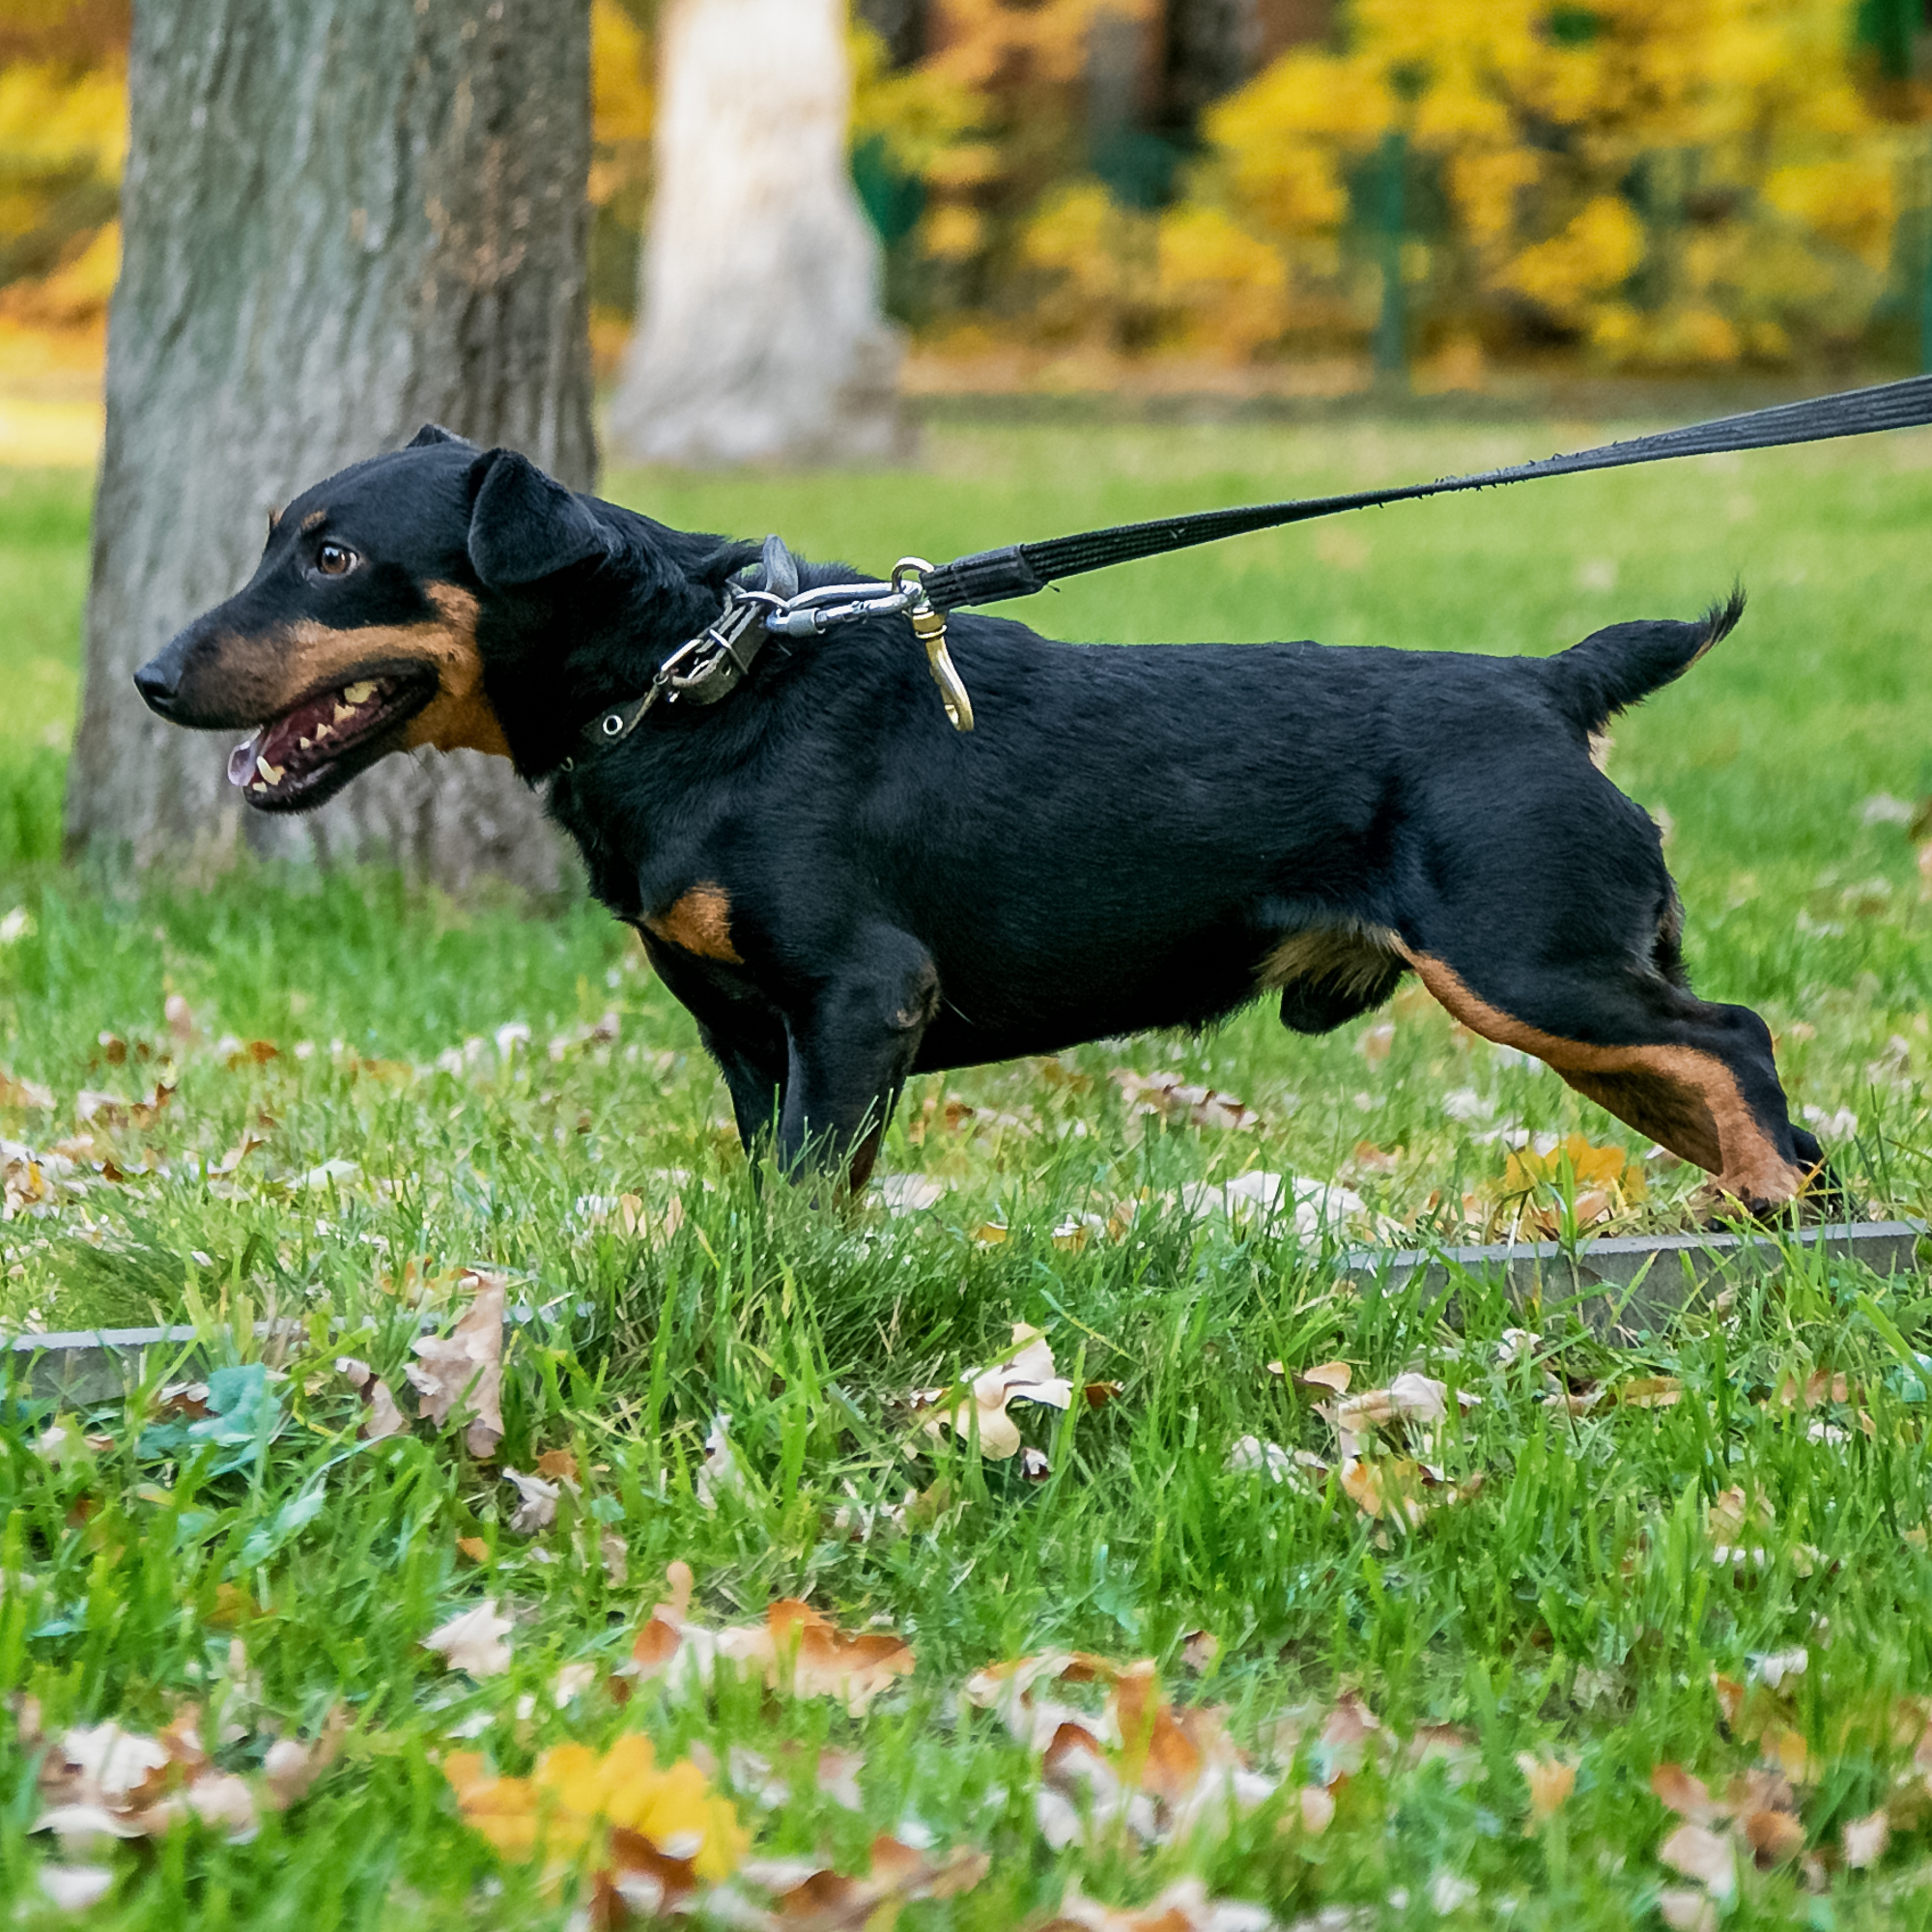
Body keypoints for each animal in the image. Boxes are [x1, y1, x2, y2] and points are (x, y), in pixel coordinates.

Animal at [136, 427, 1824, 1206]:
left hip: (1530, 964)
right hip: (1570, 1001)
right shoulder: (756, 1040)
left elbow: (808, 1205)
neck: (694, 687)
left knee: (1736, 1041)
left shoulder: (861, 999)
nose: (151, 675)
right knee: (1723, 1088)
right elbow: (773, 1195)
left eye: (333, 557)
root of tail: (1552, 684)